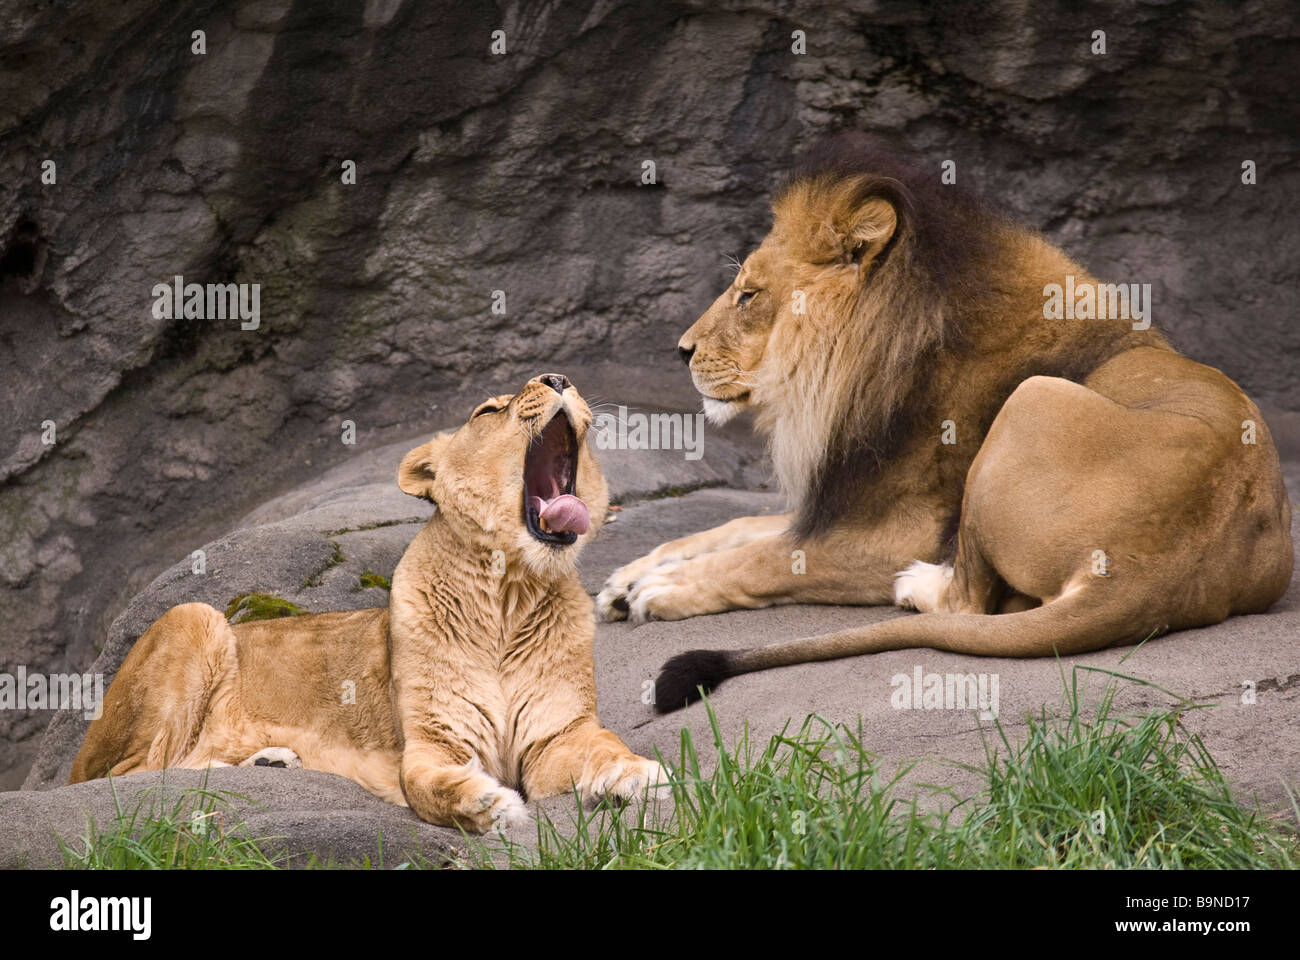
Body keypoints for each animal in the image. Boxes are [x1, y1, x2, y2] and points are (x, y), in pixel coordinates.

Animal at [71, 374, 665, 832]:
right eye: (487, 411)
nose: (559, 379)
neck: (508, 591)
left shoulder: (557, 735)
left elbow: (604, 745)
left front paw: (638, 774)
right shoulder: (432, 740)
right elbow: (429, 785)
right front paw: (485, 802)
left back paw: (270, 761)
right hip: (192, 616)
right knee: (133, 777)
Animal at [595, 130, 1294, 707]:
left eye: (748, 295)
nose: (681, 349)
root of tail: (1145, 576)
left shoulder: (898, 530)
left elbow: (759, 560)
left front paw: (662, 590)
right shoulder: (845, 498)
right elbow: (737, 527)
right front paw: (629, 576)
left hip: (1032, 402)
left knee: (971, 604)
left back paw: (917, 587)